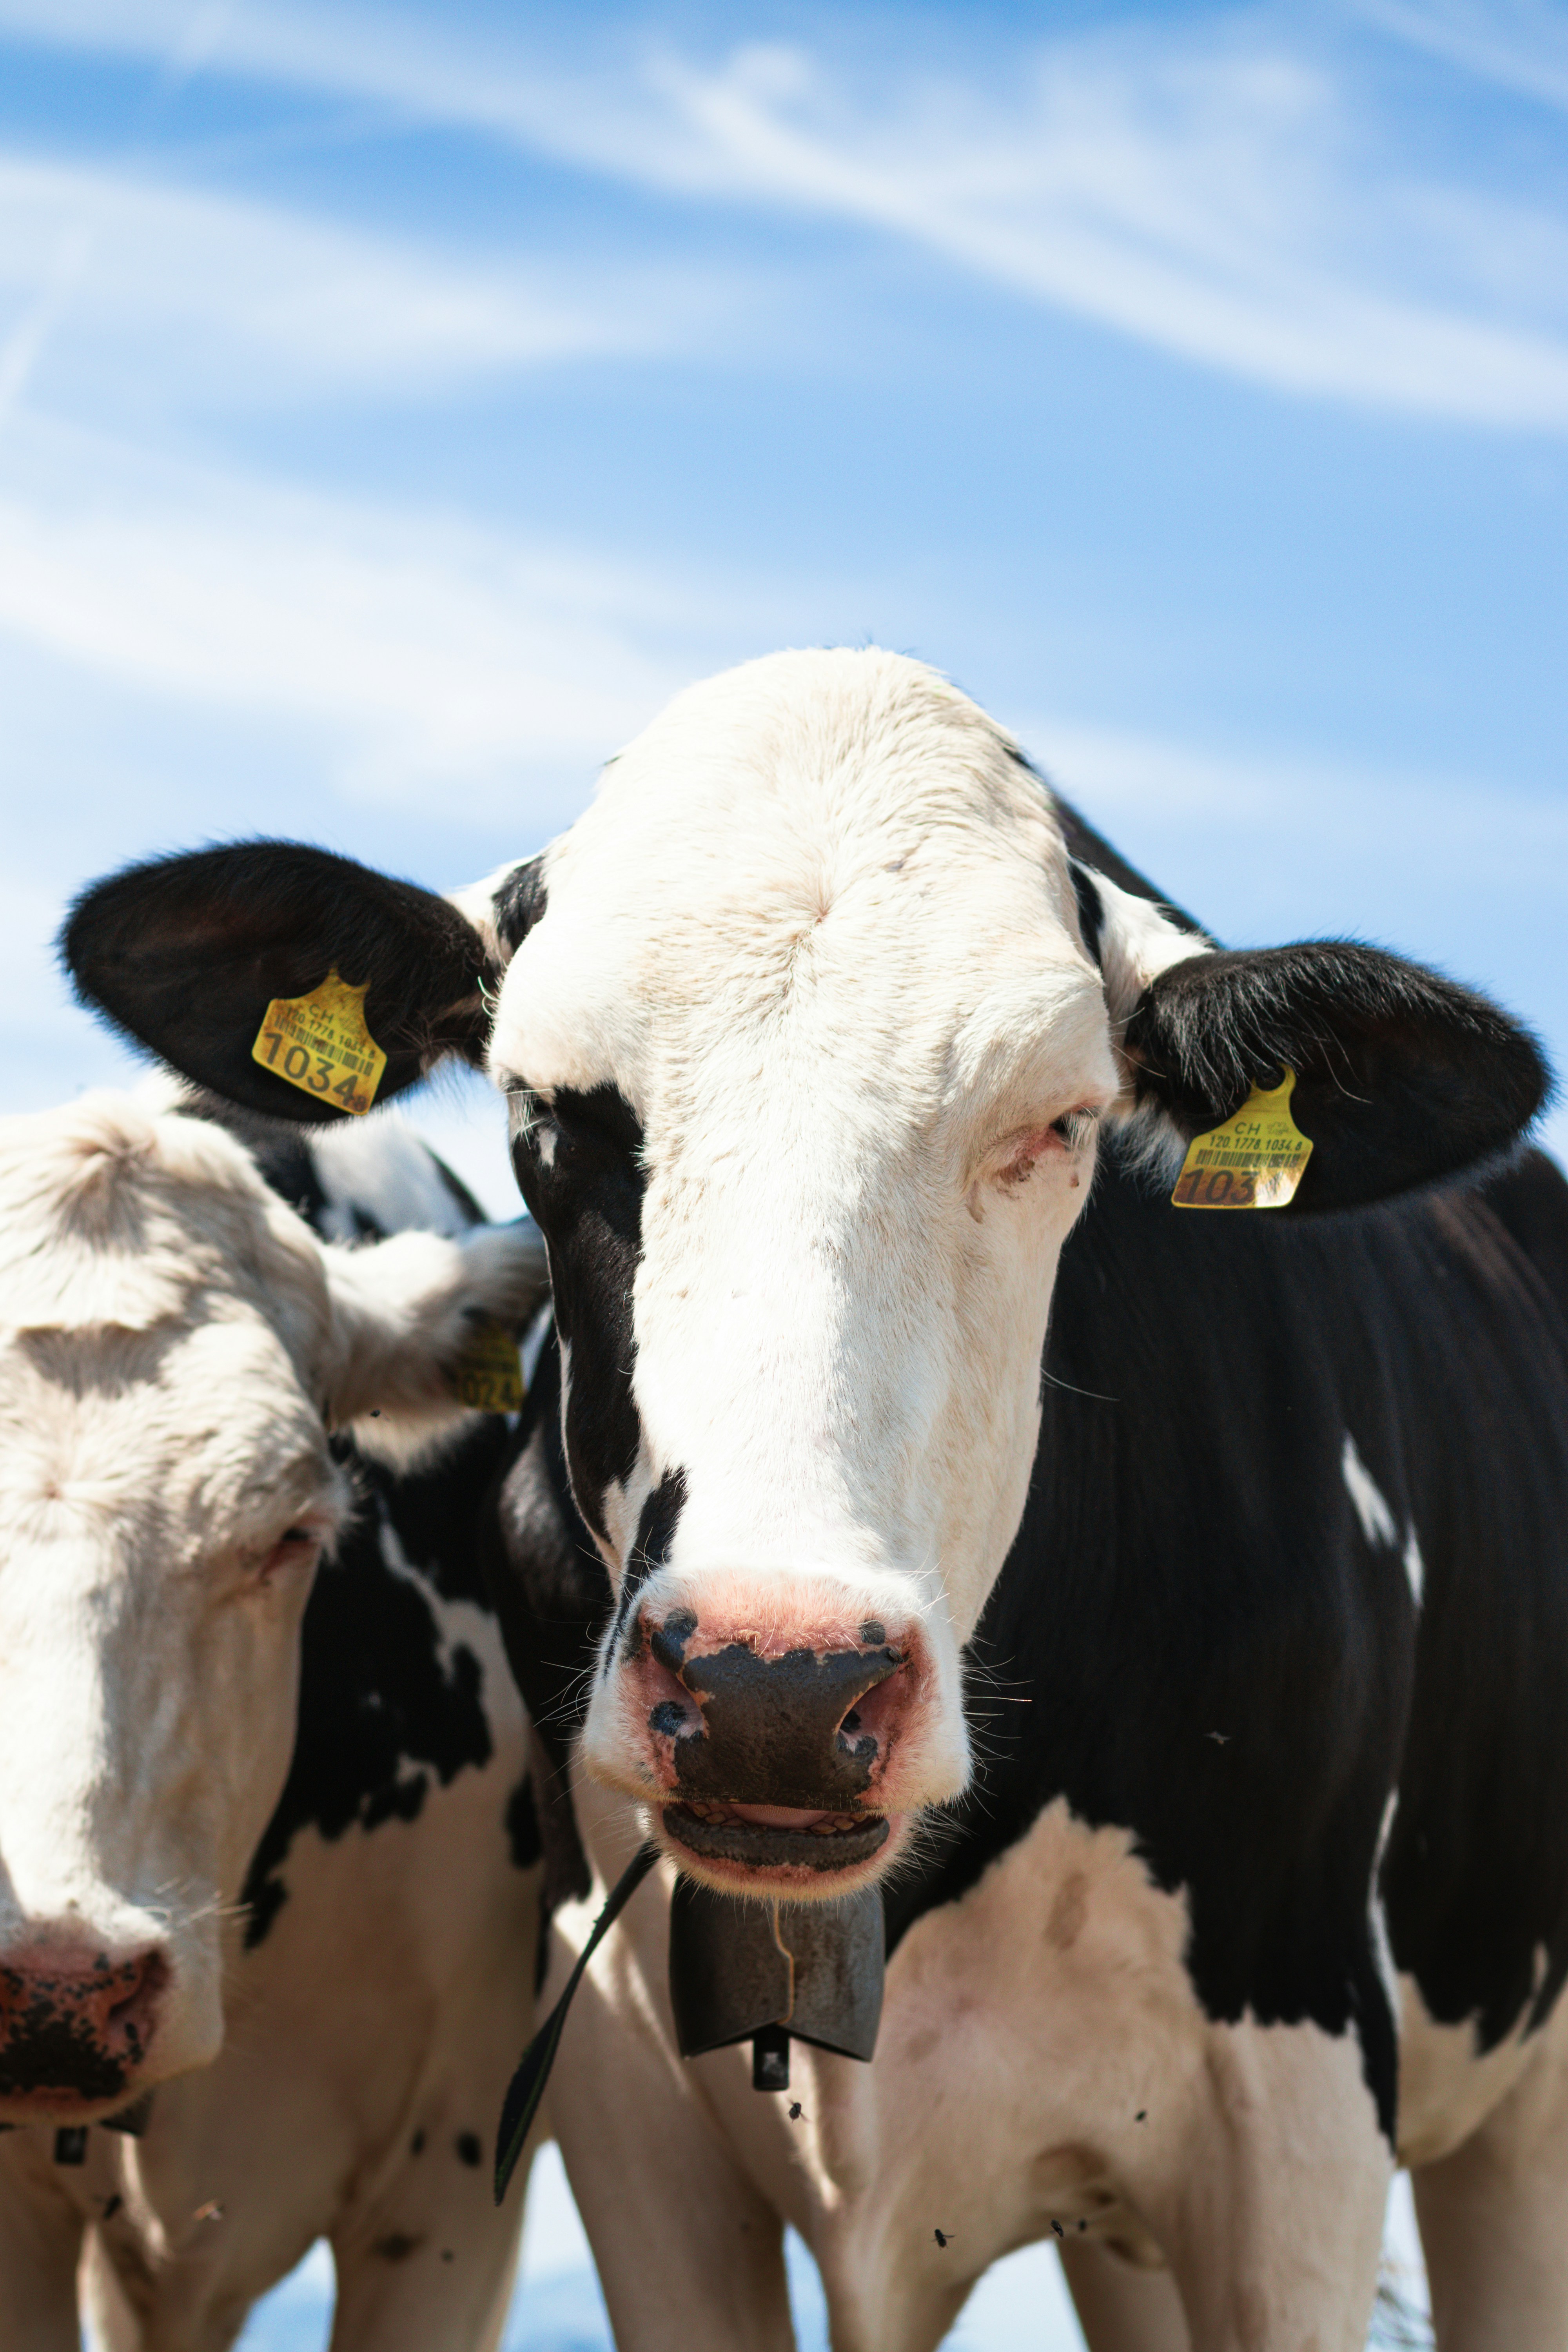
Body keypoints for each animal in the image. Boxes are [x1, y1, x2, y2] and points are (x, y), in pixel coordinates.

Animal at [60, 645, 1568, 2351]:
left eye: (1060, 1120)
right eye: (547, 1115)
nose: (773, 1686)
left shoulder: (1299, 2120)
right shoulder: (627, 2105)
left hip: (1520, 2125)